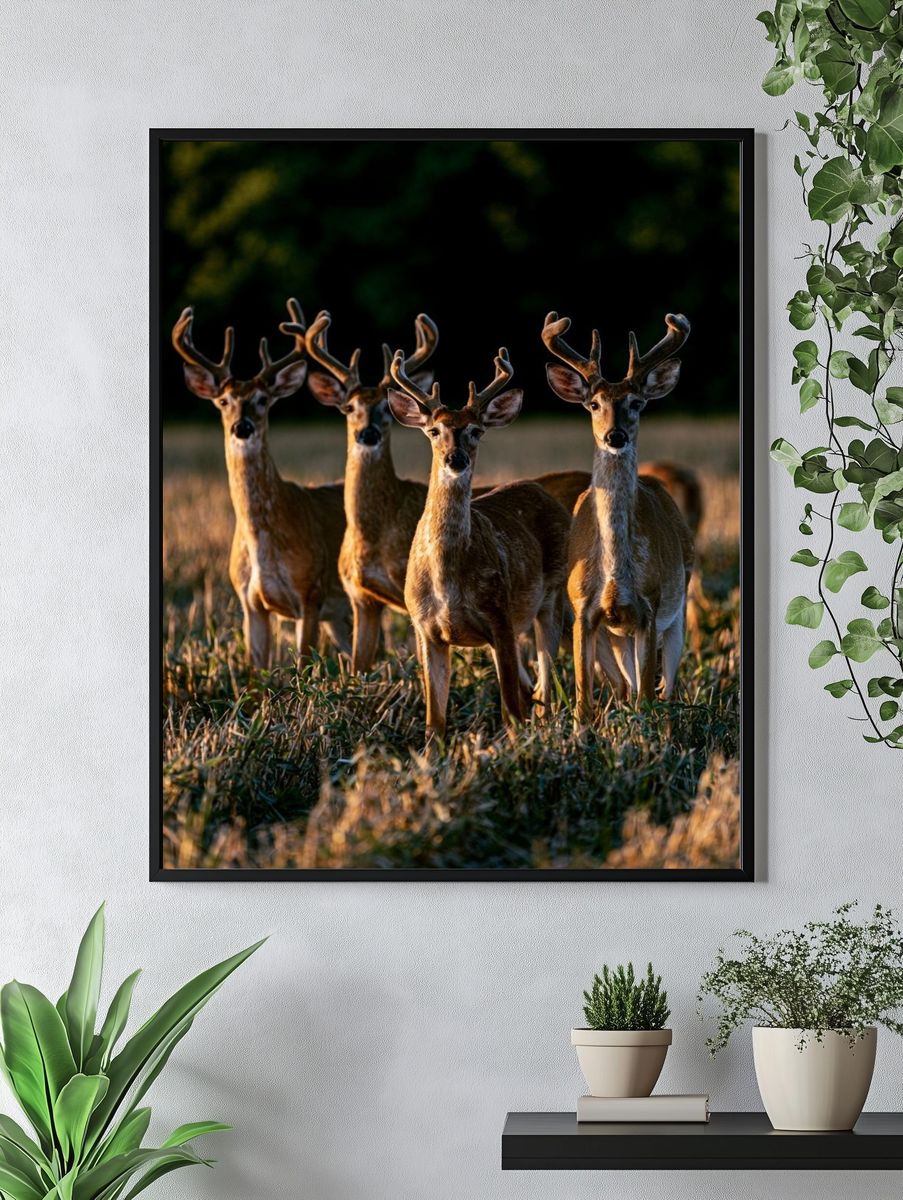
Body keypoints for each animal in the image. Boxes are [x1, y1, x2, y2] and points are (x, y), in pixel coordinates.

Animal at [172, 300, 351, 668]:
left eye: (263, 400)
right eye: (223, 401)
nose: (242, 427)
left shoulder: (310, 594)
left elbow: (303, 665)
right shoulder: (249, 602)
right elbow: (256, 671)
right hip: (339, 616)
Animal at [387, 346, 571, 740]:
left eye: (476, 430)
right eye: (433, 429)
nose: (455, 458)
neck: (446, 580)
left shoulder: (498, 616)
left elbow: (510, 712)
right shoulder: (425, 629)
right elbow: (434, 722)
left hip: (551, 597)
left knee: (545, 687)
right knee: (532, 688)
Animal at [542, 311, 695, 722]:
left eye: (637, 403)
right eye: (593, 404)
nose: (615, 436)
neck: (615, 571)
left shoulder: (649, 609)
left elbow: (647, 699)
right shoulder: (583, 611)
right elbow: (583, 700)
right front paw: (582, 730)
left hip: (677, 609)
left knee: (665, 691)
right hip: (614, 638)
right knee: (628, 687)